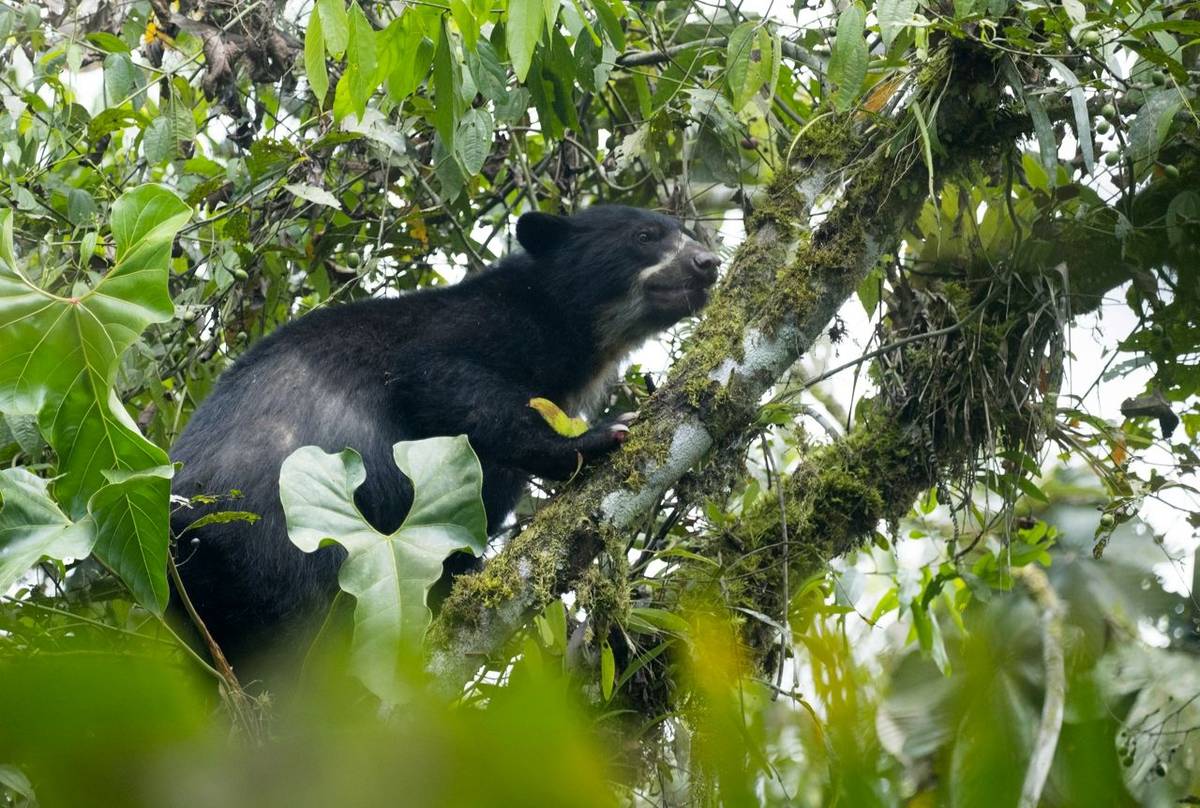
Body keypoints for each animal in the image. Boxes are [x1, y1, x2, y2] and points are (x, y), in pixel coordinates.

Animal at [170, 206, 720, 667]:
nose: (708, 262)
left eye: (686, 230)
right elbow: (437, 380)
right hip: (278, 541)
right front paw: (592, 440)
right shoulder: (478, 330)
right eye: (644, 236)